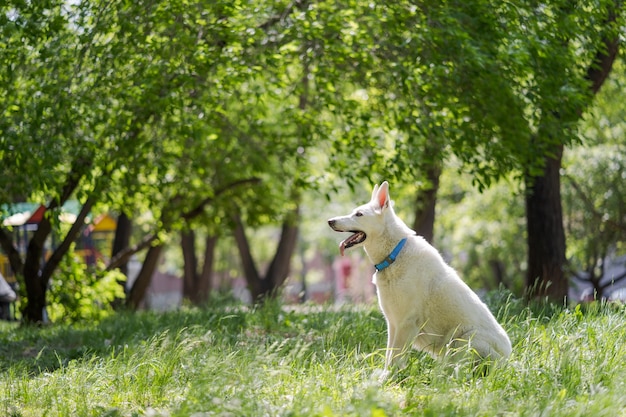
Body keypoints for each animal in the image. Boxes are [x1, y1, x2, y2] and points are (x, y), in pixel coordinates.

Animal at [324, 180, 510, 372]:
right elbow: (389, 356)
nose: (330, 221)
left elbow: (395, 358)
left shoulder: (406, 323)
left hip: (464, 339)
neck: (394, 254)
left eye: (359, 214)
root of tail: (508, 362)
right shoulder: (393, 324)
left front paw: (388, 377)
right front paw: (384, 375)